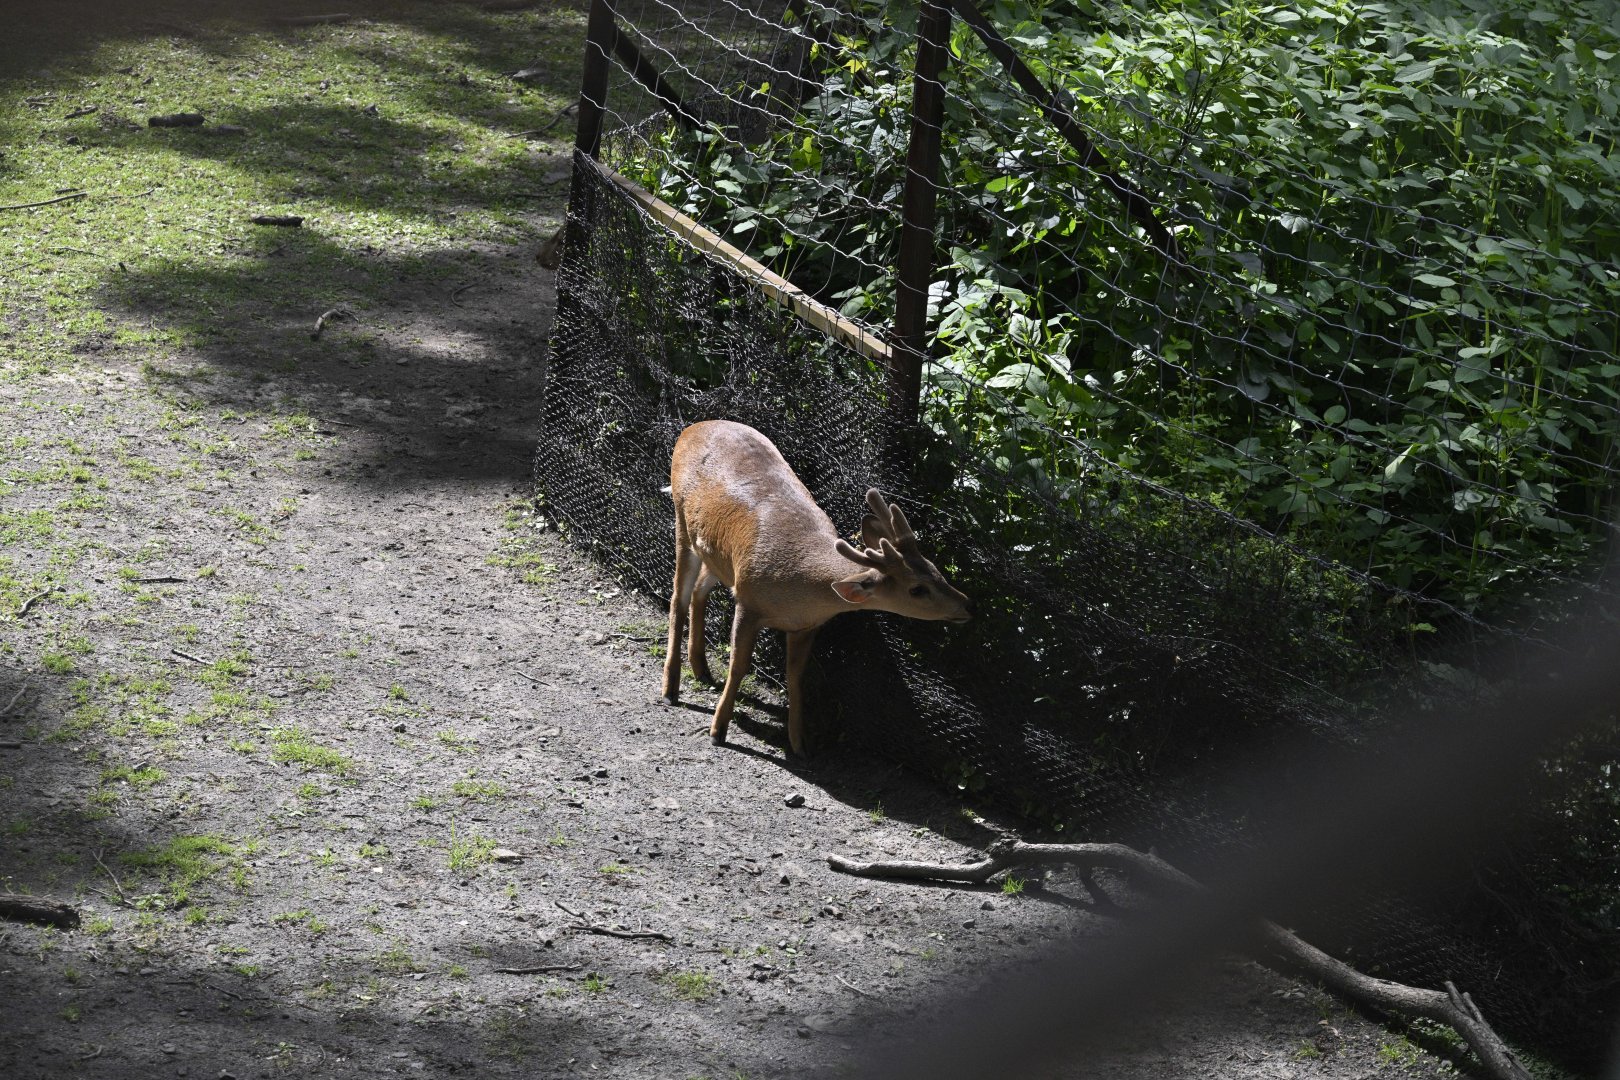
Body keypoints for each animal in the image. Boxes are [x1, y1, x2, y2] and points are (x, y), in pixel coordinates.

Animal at [661, 419, 972, 756]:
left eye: (936, 569)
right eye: (917, 589)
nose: (966, 605)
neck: (799, 588)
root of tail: (690, 429)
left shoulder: (808, 625)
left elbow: (796, 677)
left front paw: (800, 743)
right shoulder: (748, 600)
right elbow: (738, 665)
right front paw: (718, 730)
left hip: (716, 553)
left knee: (698, 590)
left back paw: (701, 669)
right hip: (682, 520)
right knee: (678, 597)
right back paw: (670, 688)